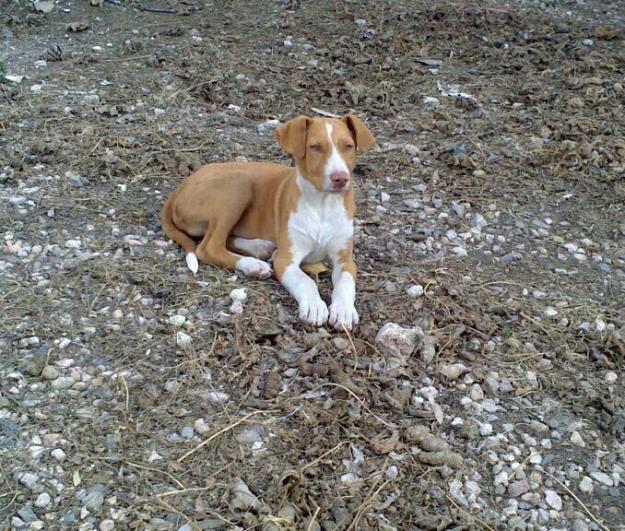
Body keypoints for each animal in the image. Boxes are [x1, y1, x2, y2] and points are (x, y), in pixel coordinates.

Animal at [162, 115, 376, 330]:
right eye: (315, 147)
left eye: (348, 146)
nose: (341, 178)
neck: (322, 205)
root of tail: (181, 187)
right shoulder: (286, 259)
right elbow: (305, 281)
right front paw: (314, 306)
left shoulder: (345, 259)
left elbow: (345, 284)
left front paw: (344, 311)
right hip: (237, 186)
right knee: (209, 247)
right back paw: (252, 265)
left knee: (224, 238)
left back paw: (260, 248)